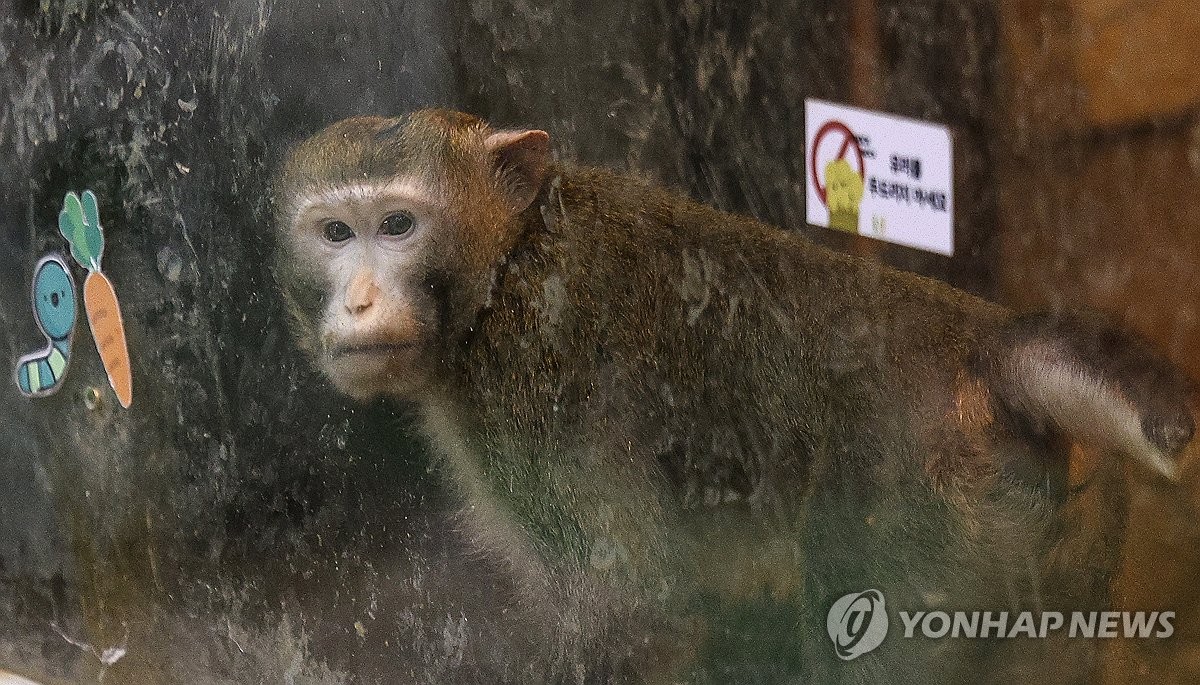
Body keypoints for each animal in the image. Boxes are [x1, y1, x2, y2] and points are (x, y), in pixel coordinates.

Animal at [267, 109, 1195, 681]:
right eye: (336, 232)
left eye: (397, 225)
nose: (358, 301)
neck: (506, 260)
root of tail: (976, 344)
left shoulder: (532, 381)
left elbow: (634, 614)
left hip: (917, 513)